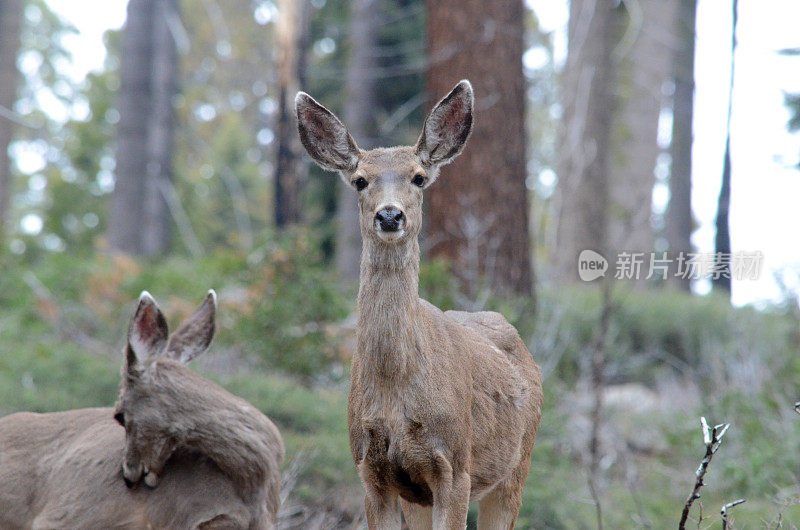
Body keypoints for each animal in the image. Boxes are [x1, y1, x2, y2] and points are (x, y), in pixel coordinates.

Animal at [296, 80, 548, 524]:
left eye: (418, 177)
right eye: (359, 180)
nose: (390, 215)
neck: (396, 387)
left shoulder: (455, 467)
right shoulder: (372, 472)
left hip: (517, 465)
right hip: (419, 497)